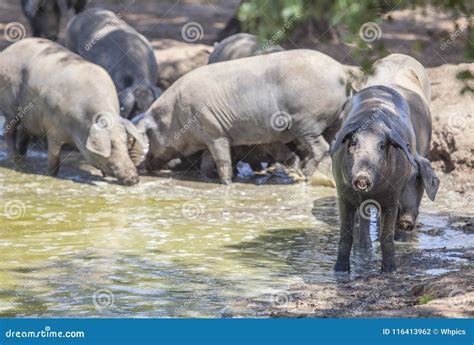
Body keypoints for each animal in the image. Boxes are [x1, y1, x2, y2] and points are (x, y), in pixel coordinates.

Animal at [0, 37, 148, 185]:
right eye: (111, 145)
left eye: (124, 142)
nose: (134, 178)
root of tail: (6, 51)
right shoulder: (53, 131)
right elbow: (54, 158)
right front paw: (51, 175)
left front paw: (105, 177)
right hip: (10, 107)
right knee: (9, 131)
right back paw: (13, 157)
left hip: (29, 119)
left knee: (24, 135)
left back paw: (22, 157)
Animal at [137, 49, 348, 184]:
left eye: (151, 135)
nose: (143, 165)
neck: (177, 115)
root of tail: (341, 71)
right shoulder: (211, 136)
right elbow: (207, 162)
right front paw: (209, 179)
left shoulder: (214, 130)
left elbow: (222, 160)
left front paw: (226, 183)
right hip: (334, 121)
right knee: (329, 147)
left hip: (305, 122)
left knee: (321, 147)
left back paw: (304, 177)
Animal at [332, 53, 438, 272]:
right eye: (353, 143)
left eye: (382, 146)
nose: (362, 176)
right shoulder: (343, 193)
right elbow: (345, 237)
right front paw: (340, 271)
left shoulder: (392, 196)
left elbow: (386, 236)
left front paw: (390, 270)